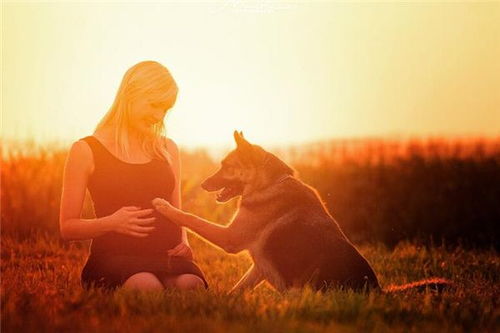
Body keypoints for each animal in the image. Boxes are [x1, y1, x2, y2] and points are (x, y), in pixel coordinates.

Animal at [152, 131, 450, 292]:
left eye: (226, 166)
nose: (202, 184)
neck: (269, 184)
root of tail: (378, 292)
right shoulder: (259, 266)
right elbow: (237, 289)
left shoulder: (230, 239)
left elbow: (191, 218)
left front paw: (165, 206)